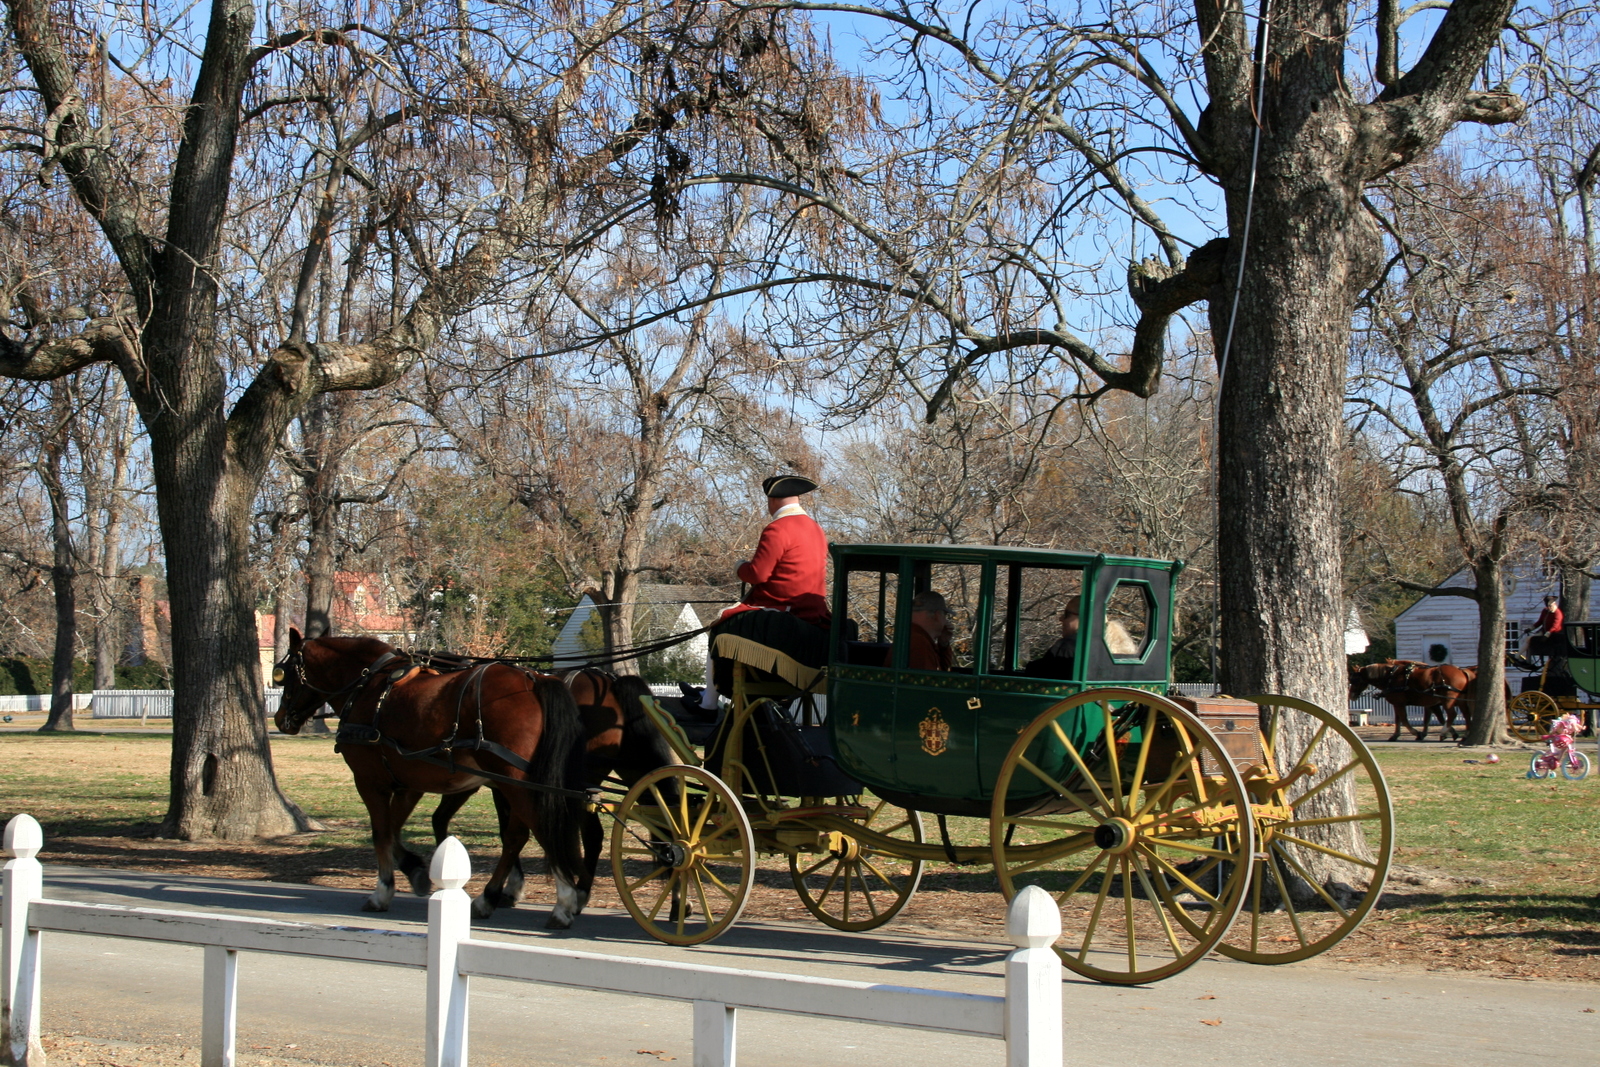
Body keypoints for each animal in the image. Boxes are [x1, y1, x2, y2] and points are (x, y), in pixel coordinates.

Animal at [275, 633, 595, 927]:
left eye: (285, 673)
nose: (280, 719)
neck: (367, 686)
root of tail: (535, 679)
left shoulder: (369, 781)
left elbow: (380, 833)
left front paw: (382, 891)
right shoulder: (407, 784)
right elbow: (393, 831)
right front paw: (415, 870)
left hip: (515, 781)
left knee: (543, 830)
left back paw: (563, 902)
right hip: (516, 784)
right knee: (518, 836)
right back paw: (491, 898)